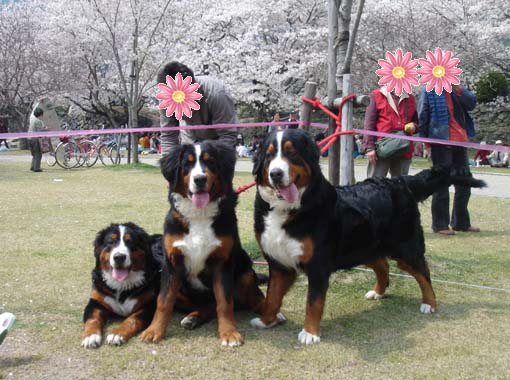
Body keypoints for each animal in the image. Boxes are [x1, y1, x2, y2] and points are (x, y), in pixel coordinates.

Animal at [140, 140, 266, 348]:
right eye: (187, 164)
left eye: (211, 162)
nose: (199, 179)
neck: (199, 215)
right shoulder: (172, 264)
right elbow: (164, 301)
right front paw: (154, 330)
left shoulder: (223, 263)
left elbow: (225, 303)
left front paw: (229, 333)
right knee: (208, 306)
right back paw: (193, 318)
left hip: (245, 270)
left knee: (253, 298)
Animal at [251, 129, 486, 346]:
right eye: (269, 155)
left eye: (292, 153)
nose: (276, 173)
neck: (289, 209)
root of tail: (399, 181)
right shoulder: (279, 263)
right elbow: (272, 297)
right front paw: (266, 320)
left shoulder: (318, 265)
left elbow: (313, 302)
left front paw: (310, 333)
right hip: (365, 246)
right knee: (383, 266)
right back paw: (378, 292)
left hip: (405, 247)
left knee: (423, 272)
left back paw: (430, 303)